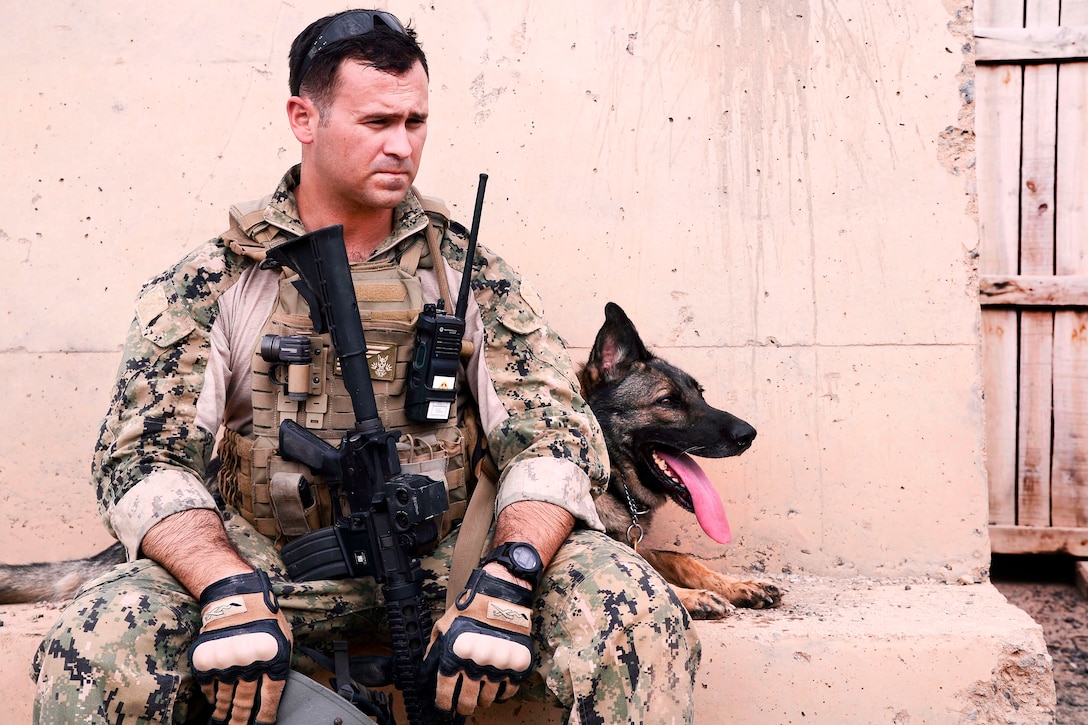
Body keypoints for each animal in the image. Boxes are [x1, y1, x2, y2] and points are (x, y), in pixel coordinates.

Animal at [587, 298, 783, 613]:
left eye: (700, 393)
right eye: (667, 401)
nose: (749, 435)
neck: (614, 479)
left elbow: (677, 557)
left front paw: (739, 585)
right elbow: (645, 577)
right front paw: (693, 596)